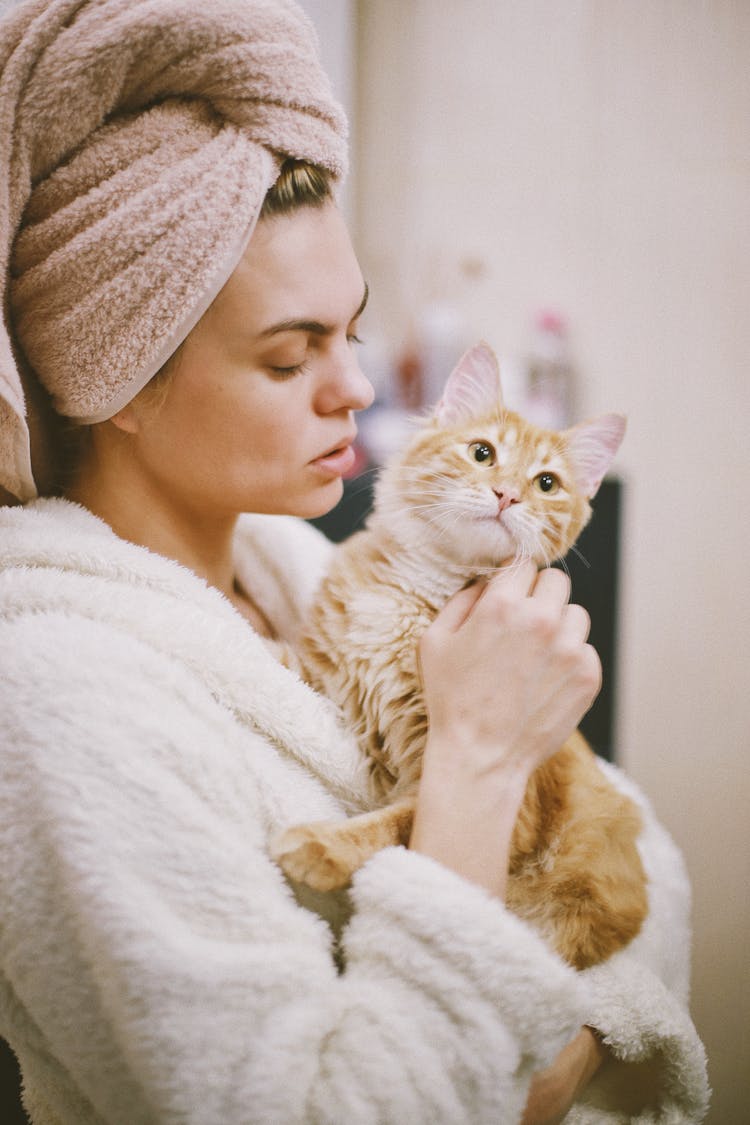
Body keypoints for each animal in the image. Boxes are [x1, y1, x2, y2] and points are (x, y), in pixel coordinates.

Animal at [273, 339, 647, 967]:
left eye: (547, 484)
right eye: (482, 453)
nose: (508, 494)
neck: (417, 593)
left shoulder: (501, 805)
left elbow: (396, 827)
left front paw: (323, 845)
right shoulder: (322, 671)